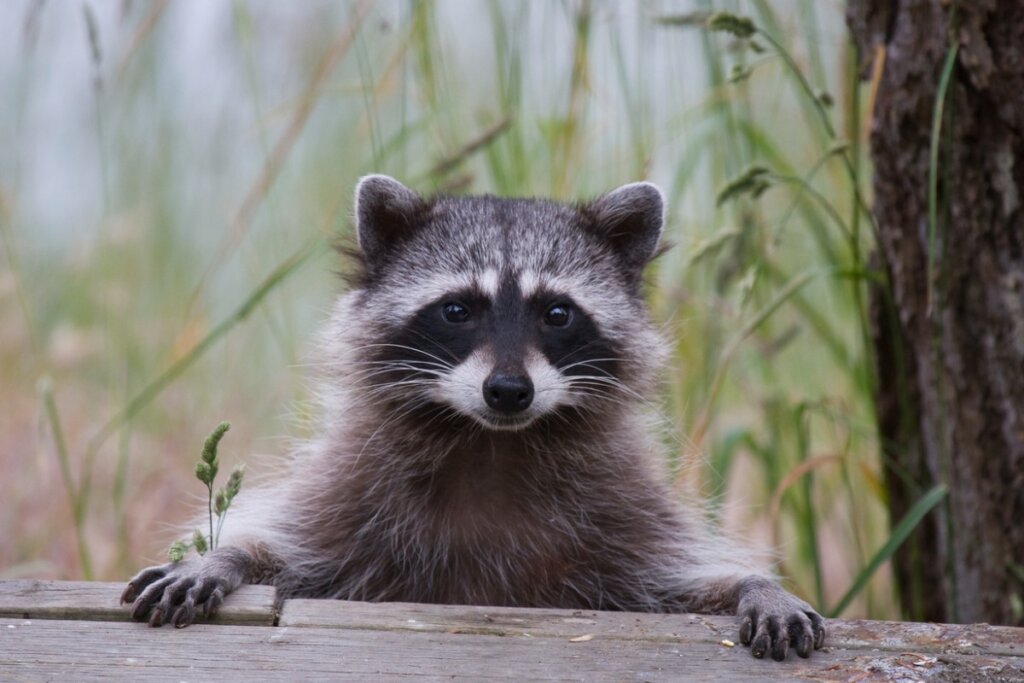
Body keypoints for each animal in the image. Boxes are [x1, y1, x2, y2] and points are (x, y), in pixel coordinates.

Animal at [121, 176, 823, 663]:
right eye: (457, 310)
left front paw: (755, 584)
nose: (509, 391)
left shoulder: (622, 514)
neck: (490, 443)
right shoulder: (353, 493)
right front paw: (225, 556)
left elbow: (677, 580)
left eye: (557, 313)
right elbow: (293, 550)